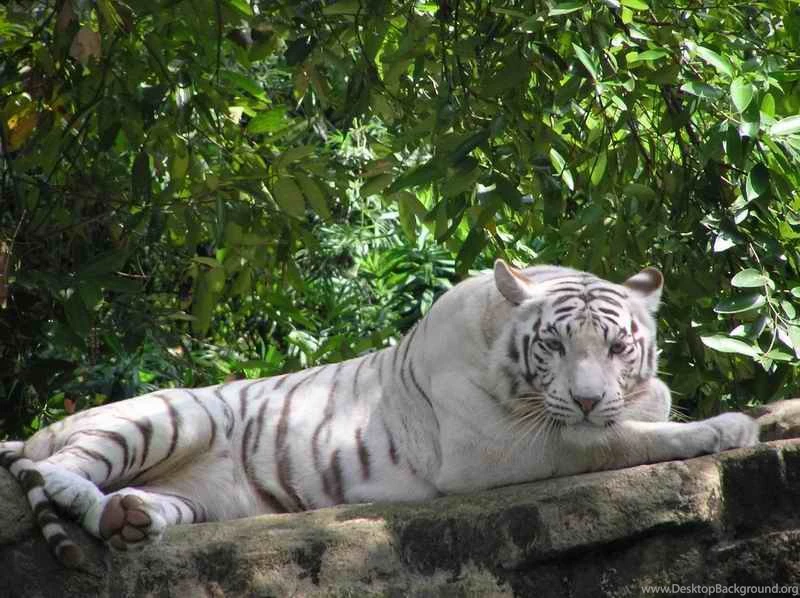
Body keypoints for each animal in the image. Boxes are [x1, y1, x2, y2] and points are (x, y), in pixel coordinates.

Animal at [0, 260, 760, 567]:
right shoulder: (506, 448)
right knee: (58, 465)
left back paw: (129, 520)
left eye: (618, 347)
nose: (587, 397)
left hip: (205, 499)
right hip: (172, 414)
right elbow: (623, 440)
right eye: (553, 345)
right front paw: (729, 426)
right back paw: (87, 494)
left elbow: (644, 410)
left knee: (140, 502)